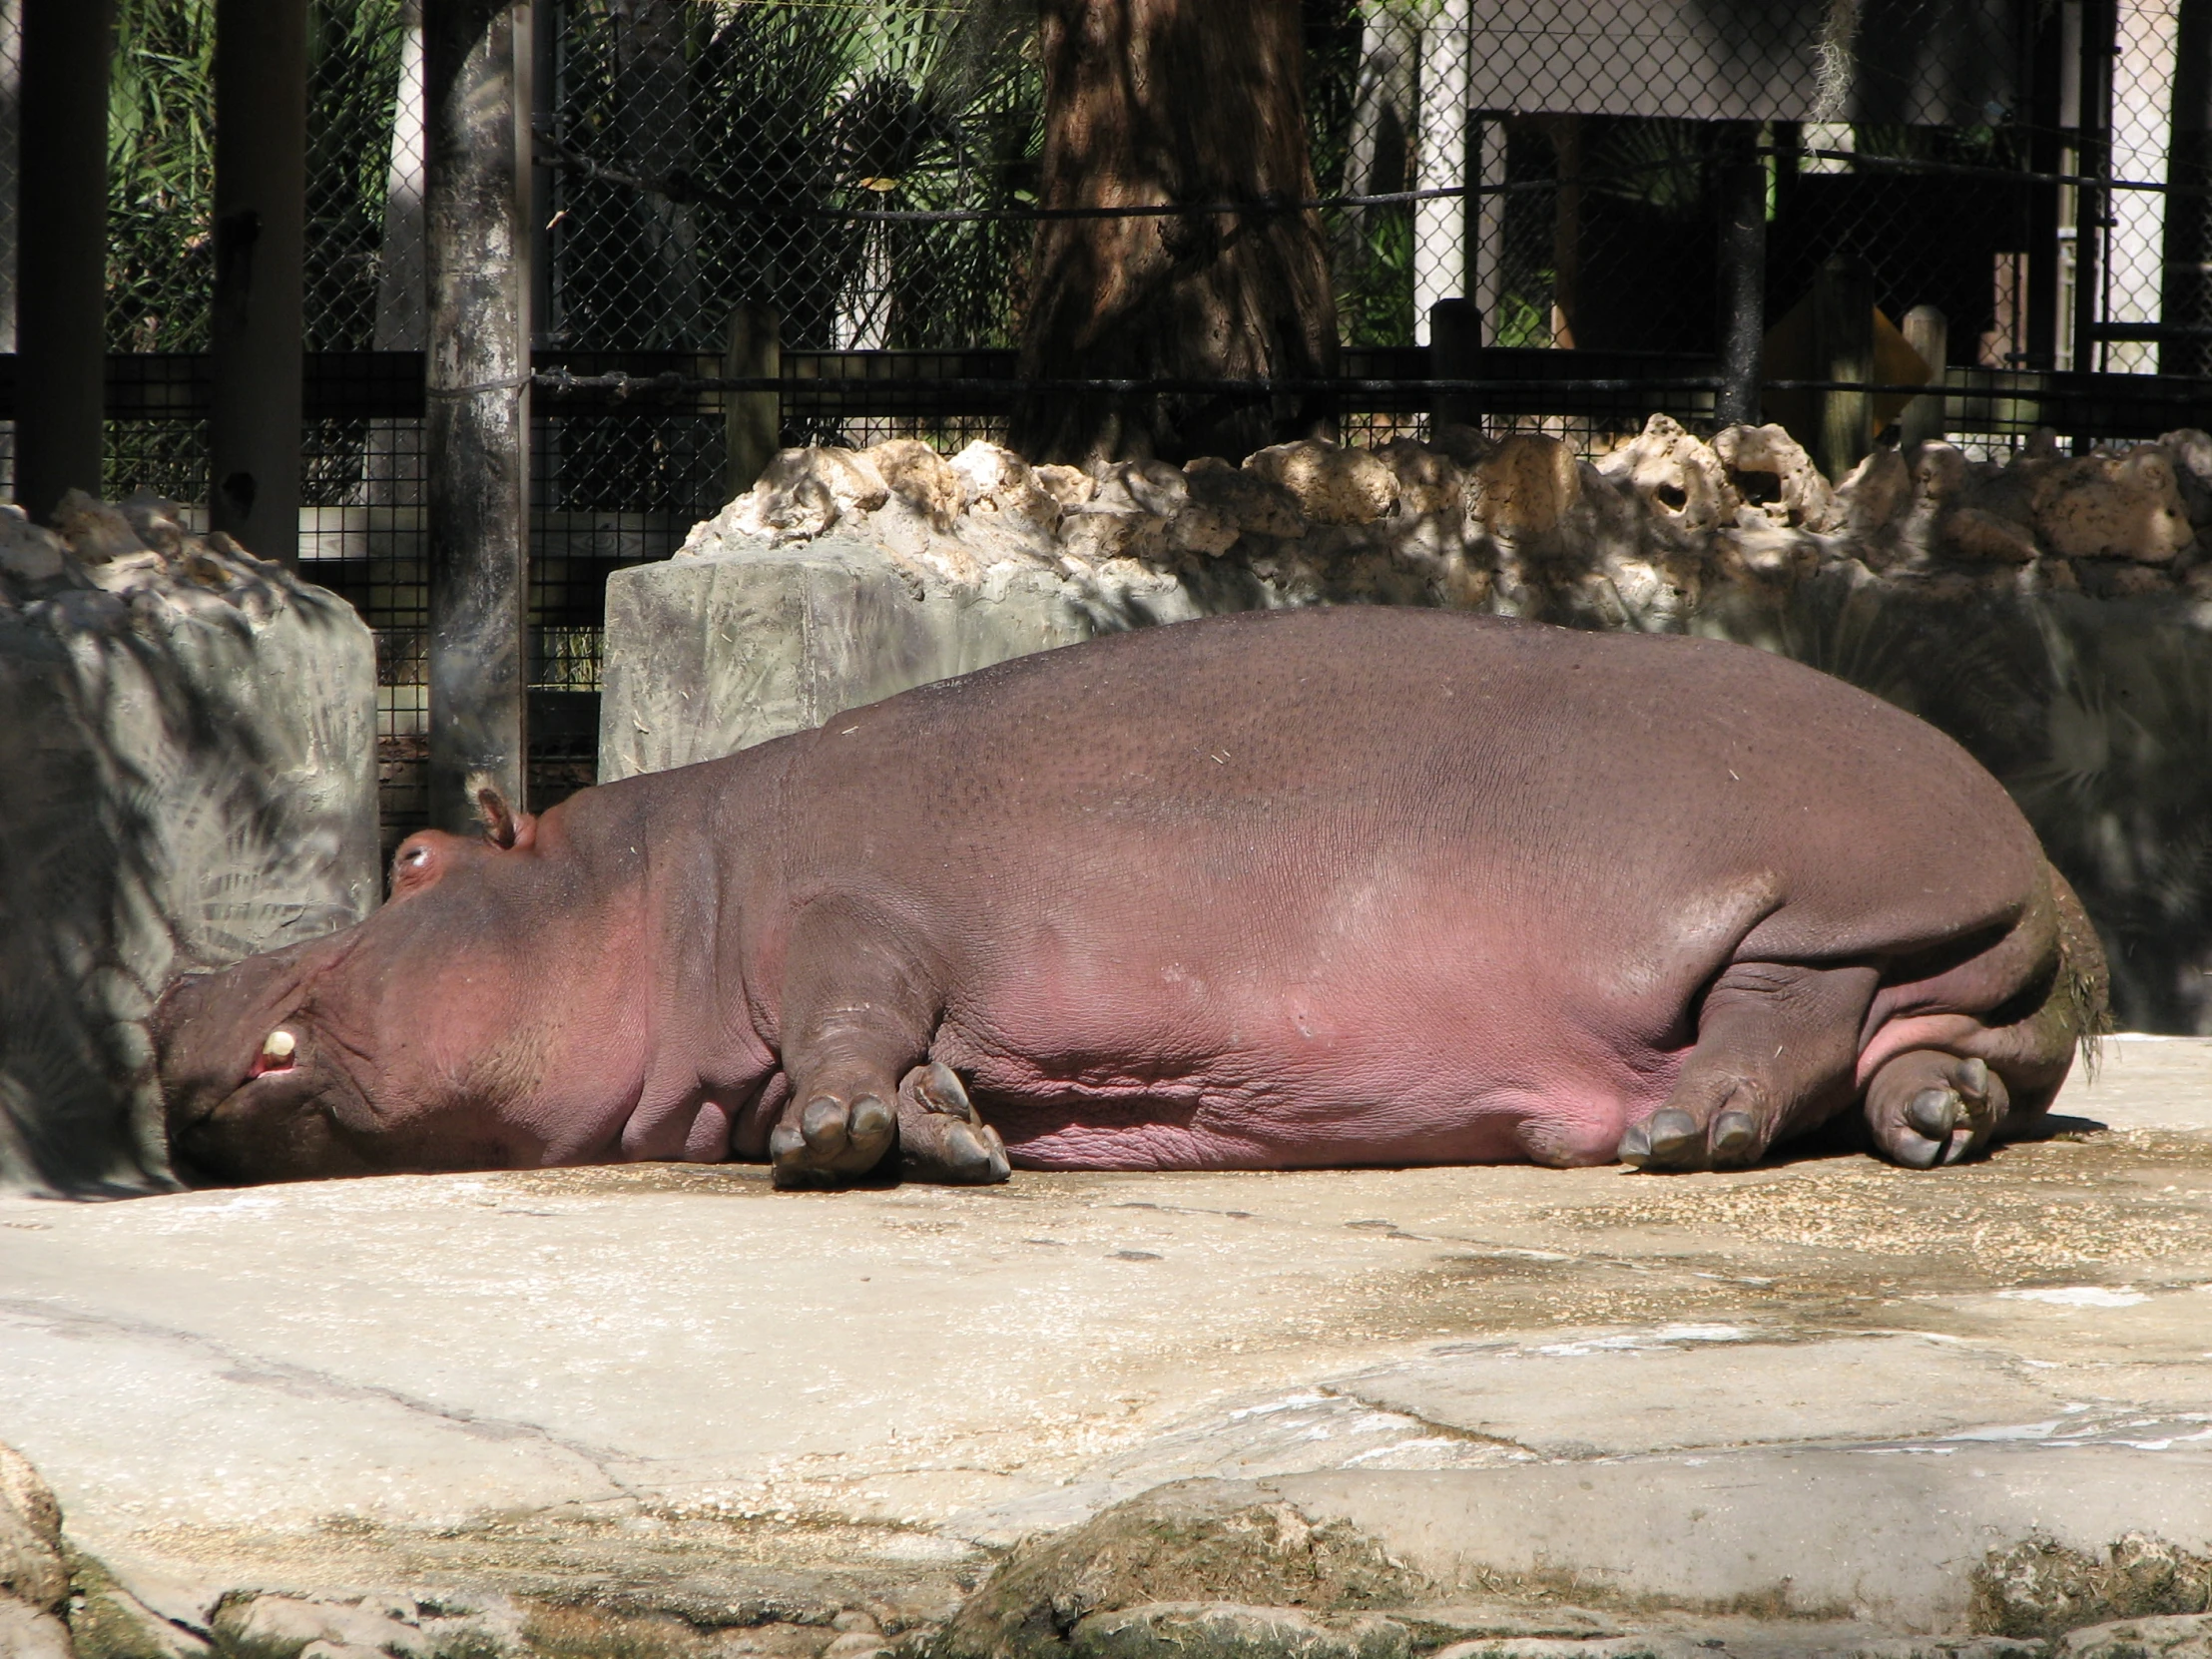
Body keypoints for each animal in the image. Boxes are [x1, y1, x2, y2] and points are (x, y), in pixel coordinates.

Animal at [160, 615, 2105, 1194]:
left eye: (413, 865)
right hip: (1946, 972)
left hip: (1824, 900)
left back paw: (1677, 1135)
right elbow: (910, 1063)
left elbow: (849, 1015)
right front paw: (952, 1135)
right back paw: (1931, 1120)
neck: (647, 882)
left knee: (1784, 1019)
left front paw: (835, 1142)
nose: (173, 992)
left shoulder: (846, 915)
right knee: (1928, 1057)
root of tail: (2041, 855)